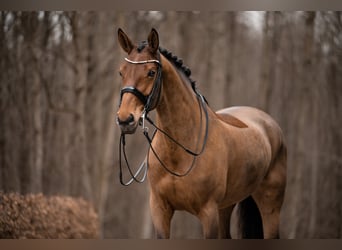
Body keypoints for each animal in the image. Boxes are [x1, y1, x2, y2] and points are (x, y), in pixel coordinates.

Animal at [116, 27, 288, 238]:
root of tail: (268, 122)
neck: (180, 150)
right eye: (122, 72)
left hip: (270, 206)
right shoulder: (160, 210)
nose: (125, 119)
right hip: (226, 207)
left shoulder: (208, 213)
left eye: (151, 72)